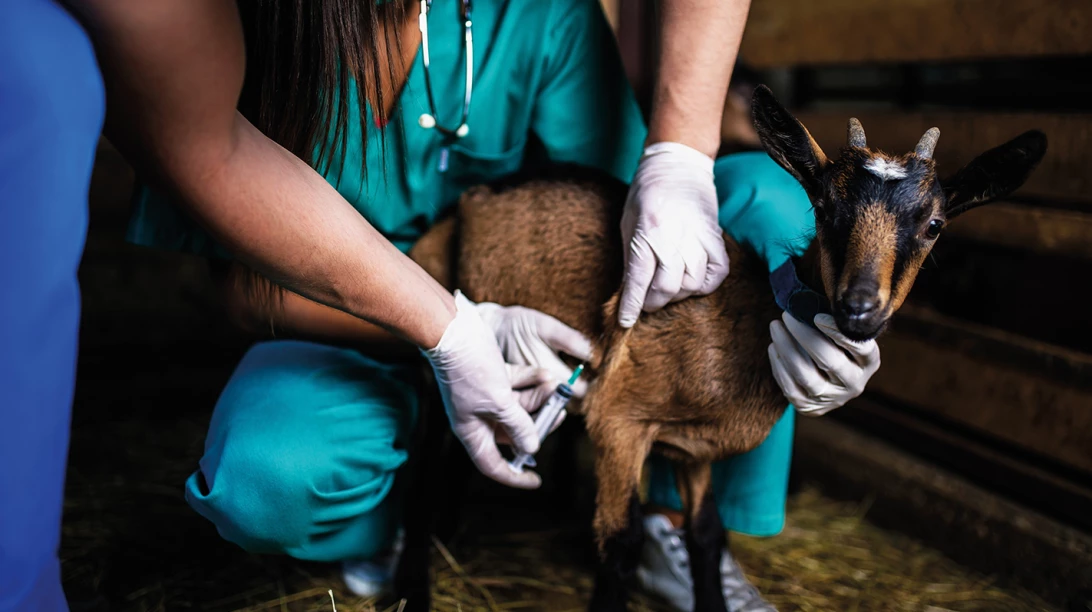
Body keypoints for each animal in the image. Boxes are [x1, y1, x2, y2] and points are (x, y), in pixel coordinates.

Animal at [404, 86, 1047, 611]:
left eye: (934, 224)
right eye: (823, 206)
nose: (860, 306)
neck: (741, 327)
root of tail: (471, 198)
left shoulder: (691, 449)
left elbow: (707, 533)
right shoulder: (620, 420)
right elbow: (621, 544)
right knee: (427, 457)